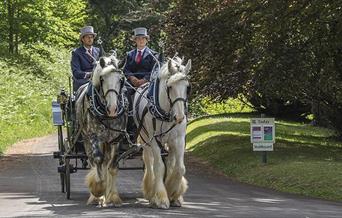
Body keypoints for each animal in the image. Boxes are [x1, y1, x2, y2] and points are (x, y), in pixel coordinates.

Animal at [75, 53, 127, 207]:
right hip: (86, 139)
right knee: (94, 161)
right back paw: (96, 196)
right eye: (102, 79)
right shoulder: (94, 137)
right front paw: (98, 191)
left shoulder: (117, 139)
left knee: (106, 163)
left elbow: (113, 166)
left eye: (121, 80)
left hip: (107, 142)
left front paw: (113, 196)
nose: (112, 109)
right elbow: (98, 160)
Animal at [133, 55, 191, 208]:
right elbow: (159, 166)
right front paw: (161, 197)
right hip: (145, 138)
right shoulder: (154, 139)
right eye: (169, 87)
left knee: (170, 162)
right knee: (149, 162)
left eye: (187, 87)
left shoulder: (179, 139)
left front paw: (173, 193)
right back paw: (150, 191)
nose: (179, 117)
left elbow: (179, 167)